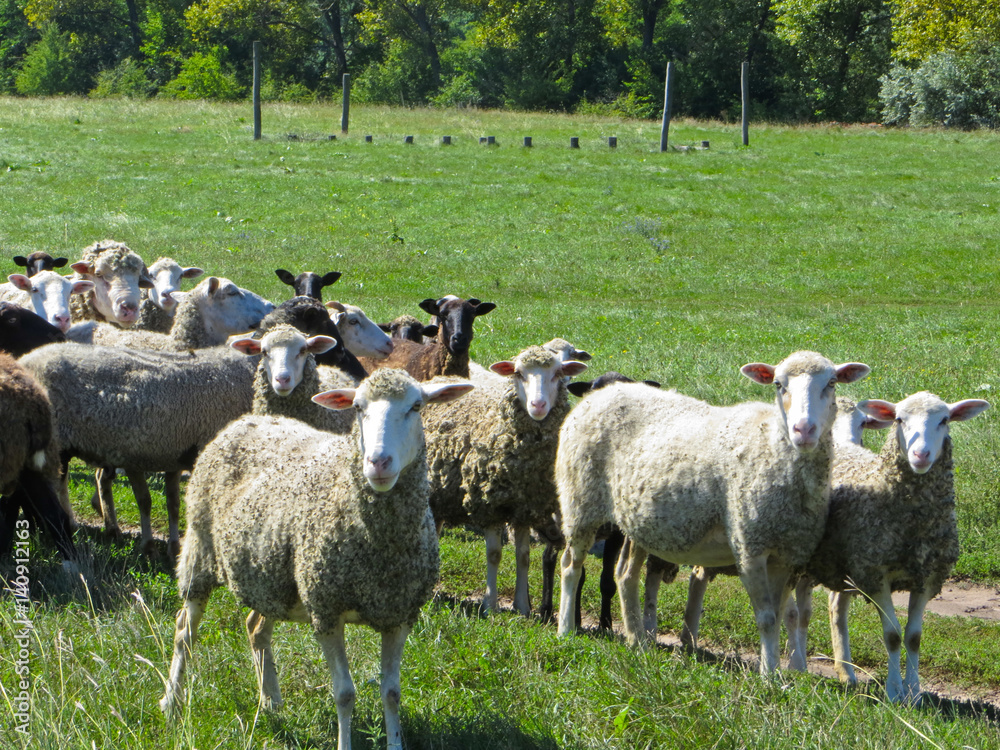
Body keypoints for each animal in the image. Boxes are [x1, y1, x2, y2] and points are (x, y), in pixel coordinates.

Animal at [20, 342, 258, 559]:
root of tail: (26, 359)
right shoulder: (137, 457)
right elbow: (146, 501)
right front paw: (150, 548)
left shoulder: (175, 457)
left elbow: (173, 503)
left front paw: (174, 549)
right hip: (55, 443)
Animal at [159, 369, 474, 750]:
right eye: (358, 408)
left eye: (416, 406)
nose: (378, 463)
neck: (379, 550)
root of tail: (246, 420)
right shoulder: (326, 610)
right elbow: (344, 694)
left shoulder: (399, 613)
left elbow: (392, 693)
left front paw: (395, 742)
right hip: (199, 551)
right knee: (184, 631)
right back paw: (172, 703)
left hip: (270, 576)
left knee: (255, 627)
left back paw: (271, 703)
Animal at [424, 345, 587, 615]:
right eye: (518, 373)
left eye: (557, 374)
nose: (538, 405)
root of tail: (437, 380)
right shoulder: (489, 503)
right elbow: (494, 554)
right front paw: (490, 605)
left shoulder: (524, 508)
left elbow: (523, 556)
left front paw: (522, 607)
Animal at [555, 351, 871, 674]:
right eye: (778, 384)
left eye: (831, 383)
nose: (803, 430)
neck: (772, 445)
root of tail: (600, 395)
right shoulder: (749, 546)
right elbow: (766, 618)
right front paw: (768, 675)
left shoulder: (785, 554)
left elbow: (780, 614)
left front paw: (774, 672)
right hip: (579, 500)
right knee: (570, 566)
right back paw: (566, 630)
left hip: (636, 519)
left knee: (625, 574)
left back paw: (637, 641)